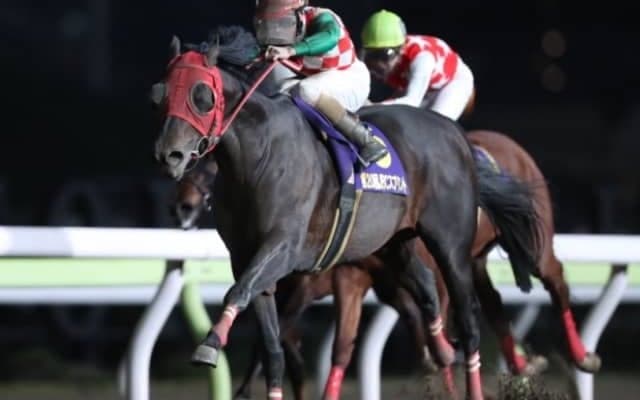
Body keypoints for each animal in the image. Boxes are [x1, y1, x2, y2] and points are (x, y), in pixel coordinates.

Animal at [151, 25, 542, 400]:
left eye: (202, 95)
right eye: (160, 94)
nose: (170, 156)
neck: (259, 157)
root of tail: (455, 133)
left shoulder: (285, 249)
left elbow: (239, 294)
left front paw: (209, 346)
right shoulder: (247, 258)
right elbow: (271, 348)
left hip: (450, 247)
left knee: (470, 322)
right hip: (394, 245)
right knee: (426, 288)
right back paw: (443, 349)